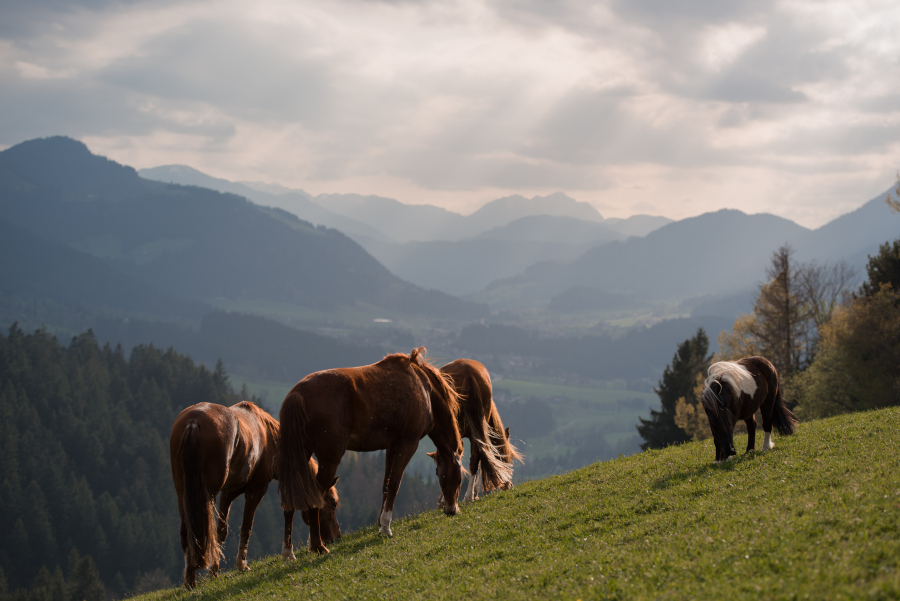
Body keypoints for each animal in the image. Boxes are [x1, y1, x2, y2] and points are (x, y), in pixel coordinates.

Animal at [170, 398, 342, 584]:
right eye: (333, 504)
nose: (336, 537)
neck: (269, 437)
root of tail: (193, 422)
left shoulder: (228, 493)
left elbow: (221, 531)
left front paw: (214, 571)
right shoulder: (256, 490)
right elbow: (248, 526)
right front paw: (243, 564)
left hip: (183, 495)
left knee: (187, 532)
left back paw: (190, 581)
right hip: (208, 495)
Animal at [278, 346, 464, 548]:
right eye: (459, 477)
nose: (451, 509)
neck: (424, 388)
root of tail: (298, 394)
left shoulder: (392, 446)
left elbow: (385, 484)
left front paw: (380, 524)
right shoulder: (408, 444)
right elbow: (395, 484)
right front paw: (386, 528)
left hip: (299, 457)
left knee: (290, 497)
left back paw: (289, 552)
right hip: (329, 459)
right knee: (315, 497)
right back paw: (318, 547)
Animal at [438, 356, 520, 502]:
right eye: (507, 457)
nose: (508, 485)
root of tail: (468, 372)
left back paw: (467, 496)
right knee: (477, 458)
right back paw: (470, 495)